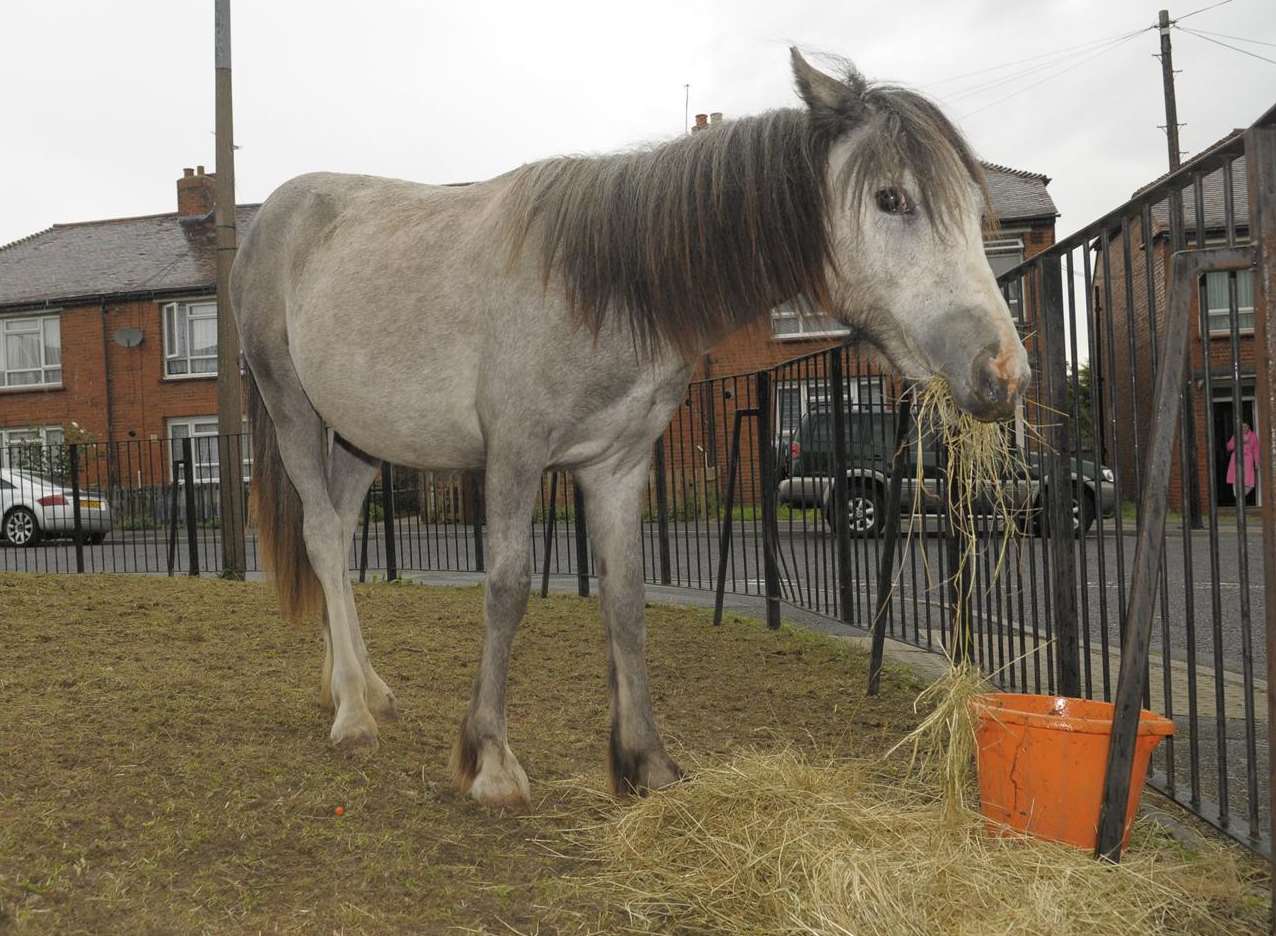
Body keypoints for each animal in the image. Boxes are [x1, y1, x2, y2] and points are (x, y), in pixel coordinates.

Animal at [229, 49, 1025, 816]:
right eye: (892, 198)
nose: (1003, 370)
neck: (604, 288)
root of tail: (269, 219)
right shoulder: (514, 454)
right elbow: (507, 587)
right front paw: (490, 761)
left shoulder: (618, 464)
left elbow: (626, 598)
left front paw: (644, 762)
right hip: (290, 405)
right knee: (322, 536)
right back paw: (353, 715)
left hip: (360, 438)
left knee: (341, 530)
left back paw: (356, 686)